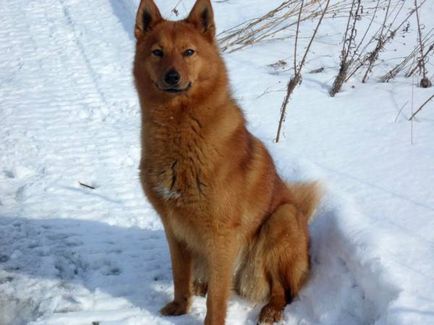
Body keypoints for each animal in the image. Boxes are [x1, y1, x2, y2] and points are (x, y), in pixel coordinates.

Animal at [134, 1, 320, 322]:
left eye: (189, 52)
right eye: (157, 52)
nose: (172, 76)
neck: (179, 129)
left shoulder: (221, 236)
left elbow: (218, 298)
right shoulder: (174, 230)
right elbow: (179, 275)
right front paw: (180, 306)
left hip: (280, 221)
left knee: (283, 290)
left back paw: (271, 310)